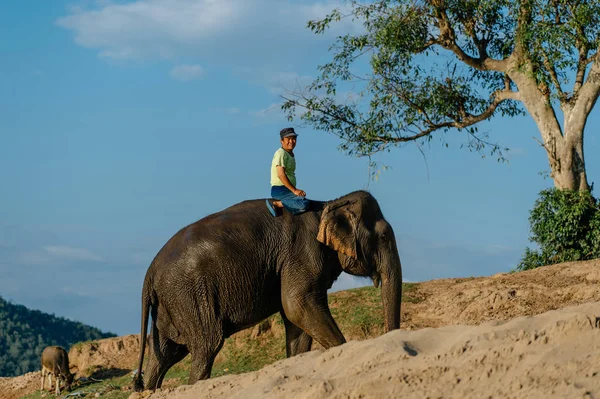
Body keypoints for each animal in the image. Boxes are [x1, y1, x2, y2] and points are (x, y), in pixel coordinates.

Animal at [132, 191, 404, 394]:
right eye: (383, 236)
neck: (329, 203)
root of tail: (149, 273)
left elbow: (296, 321)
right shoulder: (302, 252)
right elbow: (297, 305)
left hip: (171, 304)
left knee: (165, 353)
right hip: (191, 295)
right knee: (206, 346)